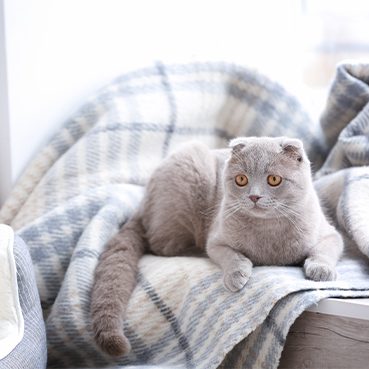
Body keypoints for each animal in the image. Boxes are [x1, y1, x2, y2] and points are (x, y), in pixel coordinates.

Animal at [90, 136, 344, 356]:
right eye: (241, 179)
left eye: (274, 180)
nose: (254, 197)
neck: (268, 232)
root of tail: (142, 204)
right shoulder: (216, 238)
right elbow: (229, 255)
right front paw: (237, 273)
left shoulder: (330, 234)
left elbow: (324, 250)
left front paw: (320, 270)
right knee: (162, 244)